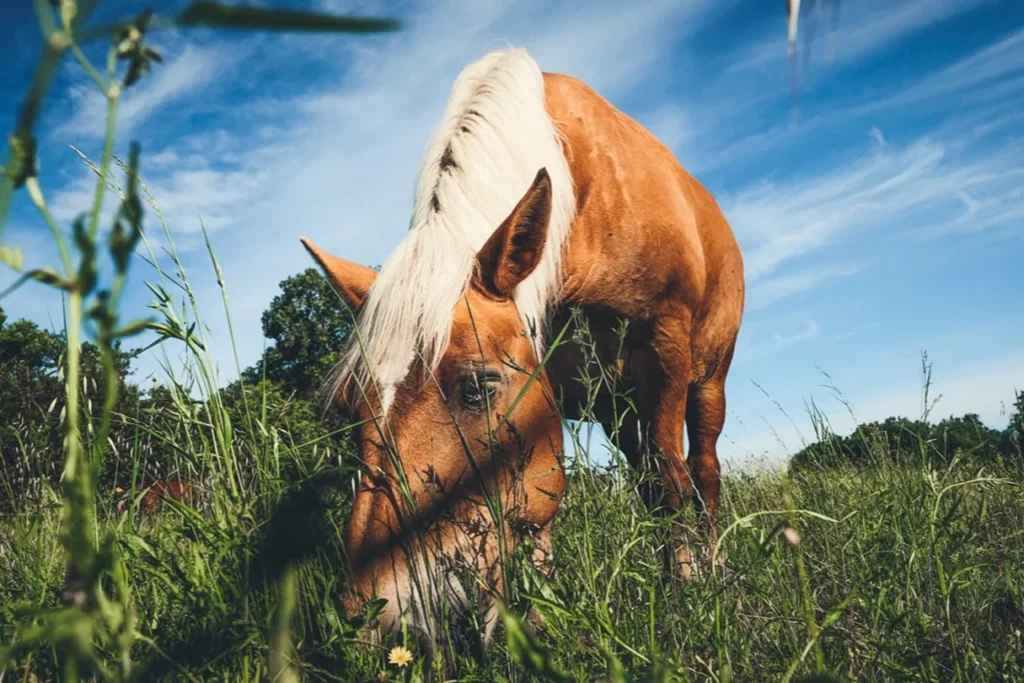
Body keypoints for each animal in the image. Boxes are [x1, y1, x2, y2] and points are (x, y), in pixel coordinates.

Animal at [301, 47, 744, 657]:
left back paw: (715, 566)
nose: (372, 618)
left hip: (706, 383)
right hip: (618, 411)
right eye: (349, 407)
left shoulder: (666, 350)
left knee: (701, 474)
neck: (589, 199)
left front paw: (685, 599)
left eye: (478, 387)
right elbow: (538, 512)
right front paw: (534, 627)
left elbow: (671, 484)